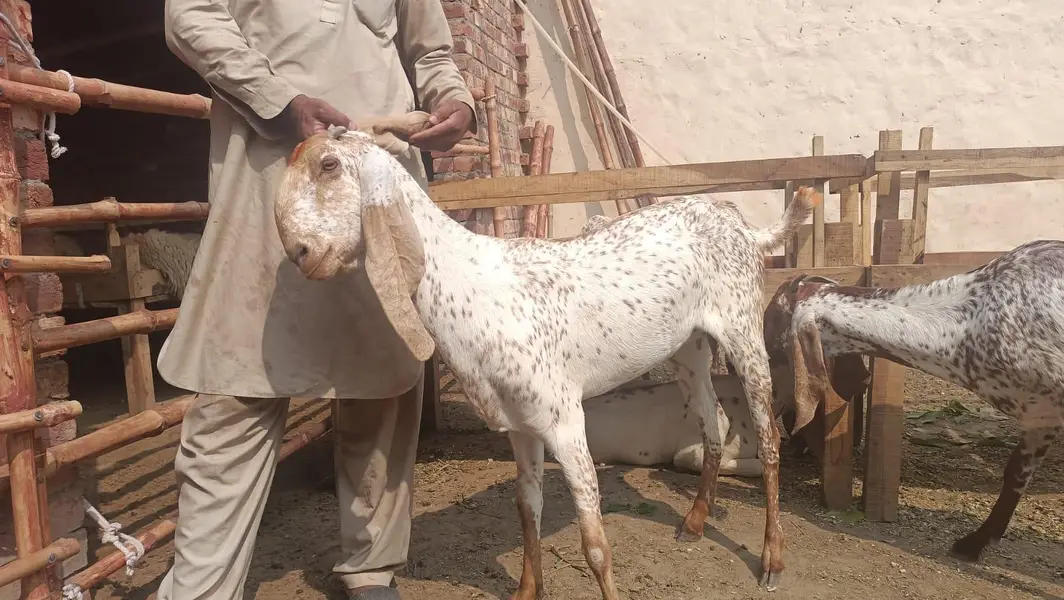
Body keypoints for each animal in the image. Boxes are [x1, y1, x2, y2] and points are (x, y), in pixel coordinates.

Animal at [273, 123, 822, 598]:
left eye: (328, 165)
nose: (300, 253)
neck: (471, 287)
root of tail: (743, 227)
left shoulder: (564, 417)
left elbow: (594, 542)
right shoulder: (520, 423)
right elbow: (527, 507)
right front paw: (525, 590)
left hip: (742, 327)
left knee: (768, 437)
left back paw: (772, 559)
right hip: (688, 348)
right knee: (711, 421)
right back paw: (693, 522)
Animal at [765, 241, 1064, 562]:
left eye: (770, 331)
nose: (770, 398)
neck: (971, 321)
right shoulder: (1041, 414)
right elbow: (1015, 474)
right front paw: (975, 543)